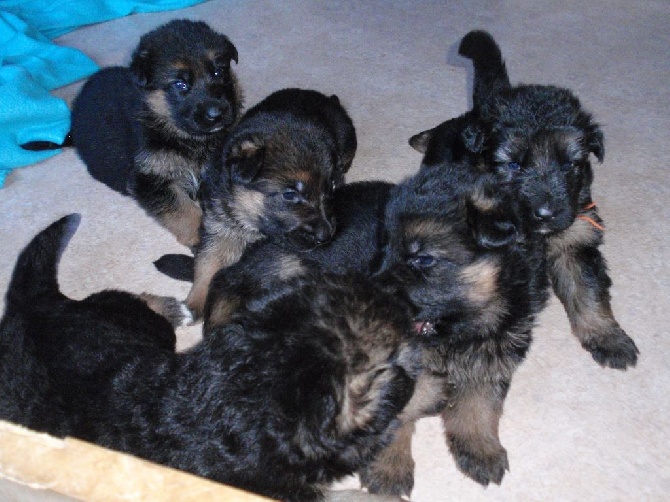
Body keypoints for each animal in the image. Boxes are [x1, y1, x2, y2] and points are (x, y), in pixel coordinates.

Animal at [0, 215, 420, 502]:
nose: (410, 299)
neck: (236, 396)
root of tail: (32, 304)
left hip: (128, 320)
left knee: (134, 300)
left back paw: (173, 307)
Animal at [71, 20, 243, 248]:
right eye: (180, 84)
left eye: (218, 72)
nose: (216, 114)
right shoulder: (149, 179)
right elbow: (182, 208)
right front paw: (199, 233)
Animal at [185, 85, 356, 314]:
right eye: (290, 195)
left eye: (329, 190)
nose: (326, 235)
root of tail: (327, 99)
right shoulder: (219, 223)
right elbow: (208, 261)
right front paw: (195, 302)